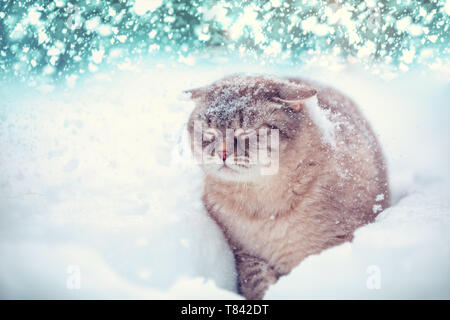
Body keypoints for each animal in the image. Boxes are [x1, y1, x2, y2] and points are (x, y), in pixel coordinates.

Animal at [185, 75, 388, 300]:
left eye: (246, 133)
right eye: (209, 134)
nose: (221, 153)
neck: (263, 209)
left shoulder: (330, 246)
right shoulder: (246, 255)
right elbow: (258, 283)